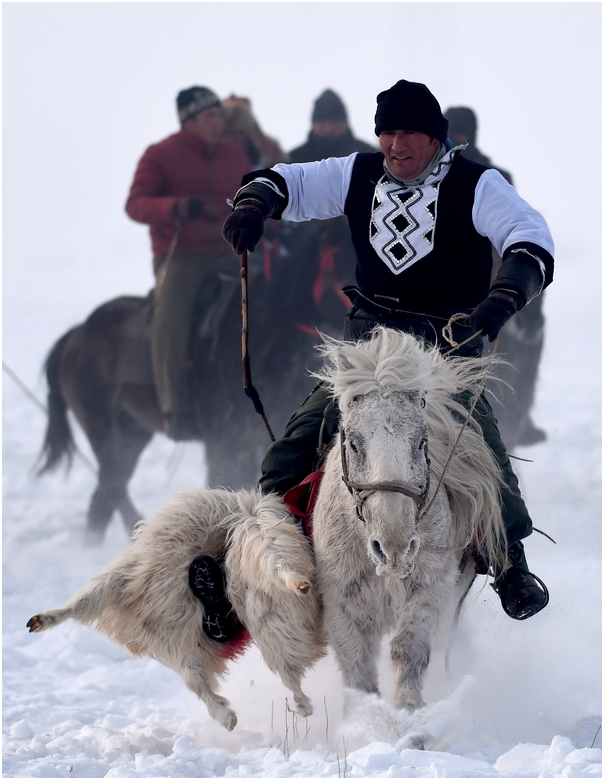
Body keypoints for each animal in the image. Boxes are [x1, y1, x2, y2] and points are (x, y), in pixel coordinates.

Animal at [310, 326, 508, 708]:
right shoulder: (339, 600)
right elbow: (357, 670)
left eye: (420, 442)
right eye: (353, 442)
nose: (395, 547)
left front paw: (408, 713)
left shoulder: (432, 587)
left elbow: (409, 647)